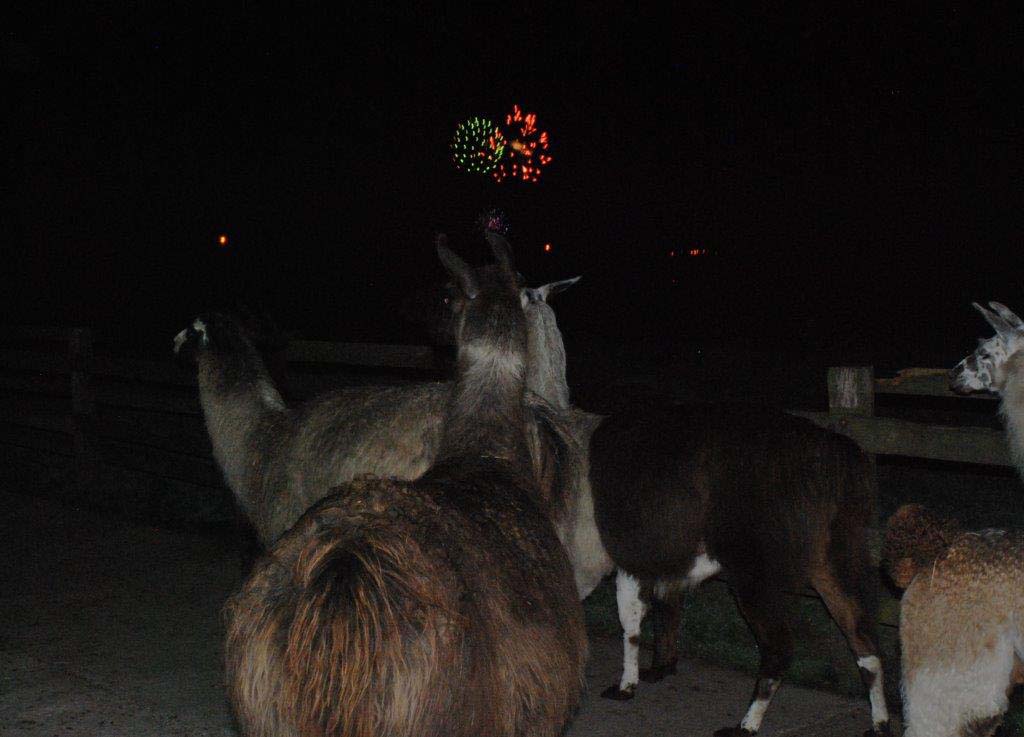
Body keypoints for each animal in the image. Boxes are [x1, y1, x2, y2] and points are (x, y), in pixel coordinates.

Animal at [588, 403, 890, 736]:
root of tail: (833, 452)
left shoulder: (626, 557)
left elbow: (629, 620)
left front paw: (625, 685)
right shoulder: (663, 559)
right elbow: (662, 611)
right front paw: (658, 669)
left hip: (755, 572)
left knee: (780, 646)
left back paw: (746, 725)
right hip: (831, 559)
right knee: (862, 635)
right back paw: (880, 722)